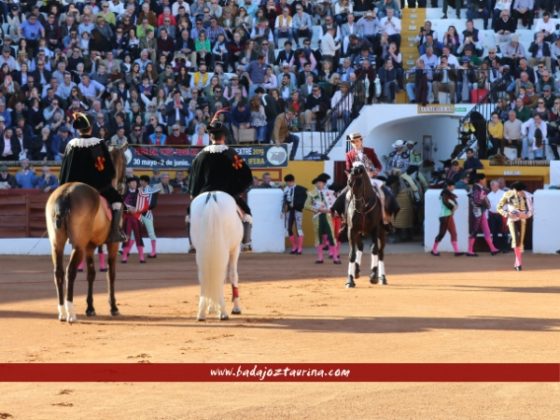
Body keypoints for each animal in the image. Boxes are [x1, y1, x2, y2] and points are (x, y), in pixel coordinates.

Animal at [45, 144, 128, 322]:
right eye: (125, 160)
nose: (123, 185)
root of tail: (65, 193)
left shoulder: (90, 246)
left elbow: (91, 273)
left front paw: (90, 307)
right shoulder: (112, 244)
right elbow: (111, 274)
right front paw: (113, 307)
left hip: (57, 244)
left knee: (58, 272)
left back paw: (62, 312)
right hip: (79, 246)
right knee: (70, 271)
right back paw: (71, 313)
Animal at [190, 191, 243, 322]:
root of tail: (211, 197)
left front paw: (211, 307)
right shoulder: (235, 248)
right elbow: (233, 275)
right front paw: (236, 308)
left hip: (201, 250)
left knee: (204, 276)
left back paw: (202, 313)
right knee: (221, 275)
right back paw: (223, 312)